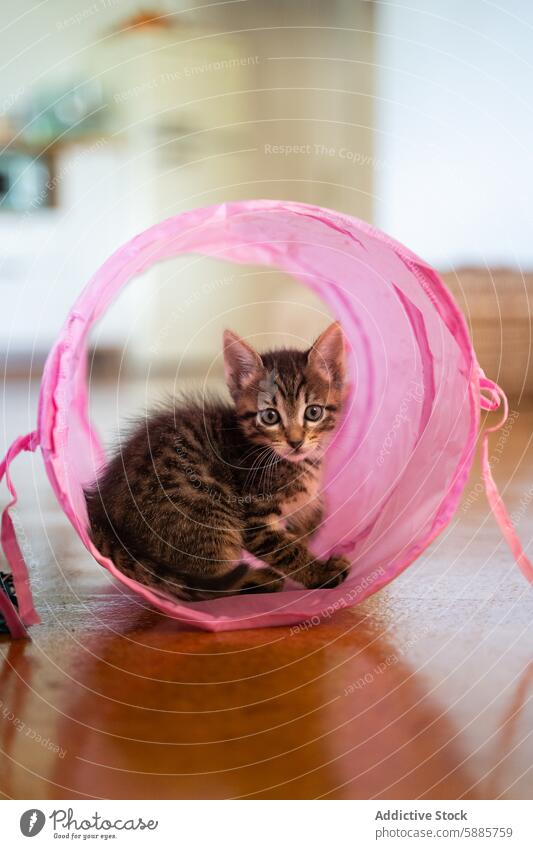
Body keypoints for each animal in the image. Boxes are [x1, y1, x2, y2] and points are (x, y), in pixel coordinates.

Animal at [84, 322, 350, 600]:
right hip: (211, 518)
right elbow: (287, 551)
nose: (295, 442)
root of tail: (102, 512)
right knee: (205, 588)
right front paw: (321, 573)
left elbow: (313, 518)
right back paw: (260, 579)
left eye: (313, 412)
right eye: (269, 416)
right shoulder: (255, 520)